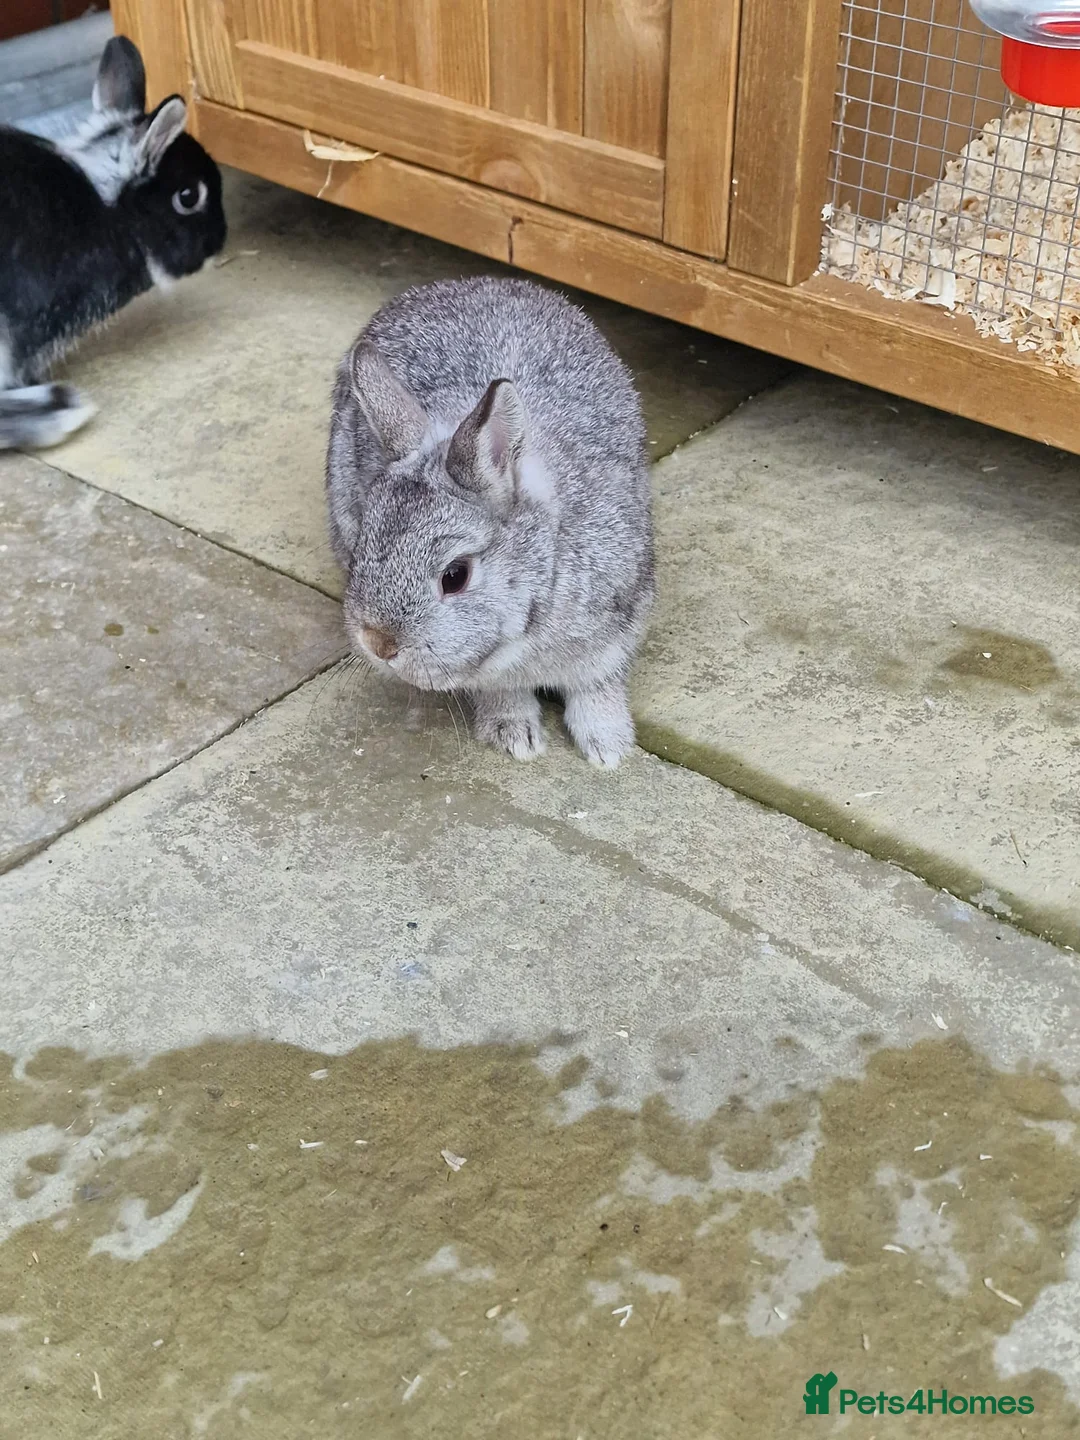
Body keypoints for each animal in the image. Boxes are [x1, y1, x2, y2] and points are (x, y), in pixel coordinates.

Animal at [326, 276, 655, 768]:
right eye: (363, 549)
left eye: (455, 575)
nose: (379, 644)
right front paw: (514, 735)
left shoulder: (616, 624)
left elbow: (597, 684)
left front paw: (607, 747)